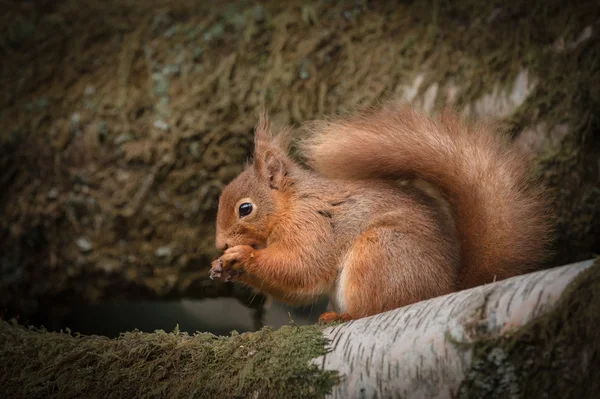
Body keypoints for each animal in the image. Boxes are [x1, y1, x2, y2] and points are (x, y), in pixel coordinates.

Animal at [210, 104, 552, 324]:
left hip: (380, 252)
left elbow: (301, 268)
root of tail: (445, 289)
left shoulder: (313, 226)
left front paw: (242, 256)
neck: (291, 205)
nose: (220, 244)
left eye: (245, 209)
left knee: (374, 308)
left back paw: (342, 315)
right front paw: (223, 265)